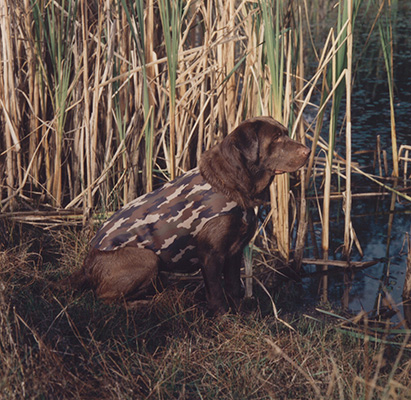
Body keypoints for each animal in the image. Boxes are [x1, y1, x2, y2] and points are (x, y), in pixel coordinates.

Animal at [69, 117, 310, 314]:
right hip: (147, 259)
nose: (307, 151)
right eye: (276, 138)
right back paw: (139, 304)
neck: (233, 184)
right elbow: (216, 291)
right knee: (102, 297)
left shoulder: (234, 251)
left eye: (285, 132)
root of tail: (87, 263)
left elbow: (233, 287)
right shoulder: (211, 254)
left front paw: (241, 314)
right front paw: (223, 318)